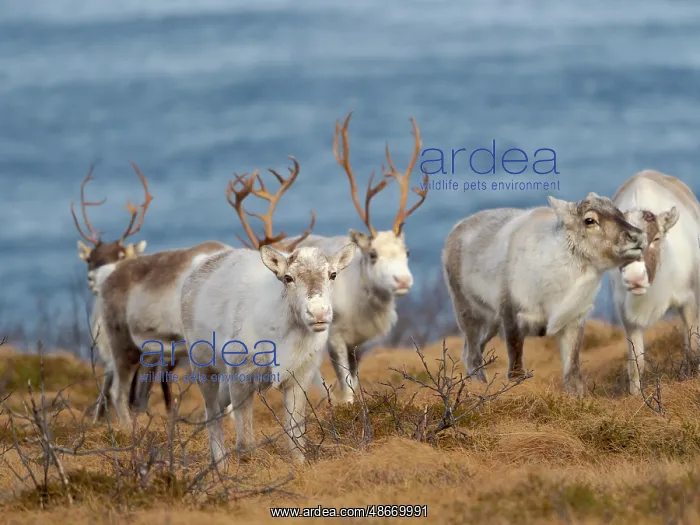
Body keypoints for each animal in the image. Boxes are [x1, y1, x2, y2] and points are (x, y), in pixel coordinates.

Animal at [70, 162, 173, 420]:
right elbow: (108, 385)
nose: (96, 277)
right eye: (90, 259)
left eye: (120, 254)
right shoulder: (107, 352)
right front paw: (98, 417)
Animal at [284, 111, 429, 403]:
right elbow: (345, 381)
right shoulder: (335, 338)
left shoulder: (358, 342)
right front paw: (347, 404)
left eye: (406, 252)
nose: (403, 280)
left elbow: (355, 377)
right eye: (373, 254)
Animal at [442, 193, 647, 395]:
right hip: (468, 313)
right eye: (589, 220)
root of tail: (455, 230)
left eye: (619, 212)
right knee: (471, 354)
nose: (638, 236)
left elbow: (572, 373)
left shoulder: (573, 320)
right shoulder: (512, 316)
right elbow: (516, 369)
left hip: (492, 323)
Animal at [610, 170, 700, 395]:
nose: (635, 278)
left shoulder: (689, 301)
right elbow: (636, 363)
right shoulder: (627, 314)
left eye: (657, 238)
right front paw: (635, 395)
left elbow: (692, 347)